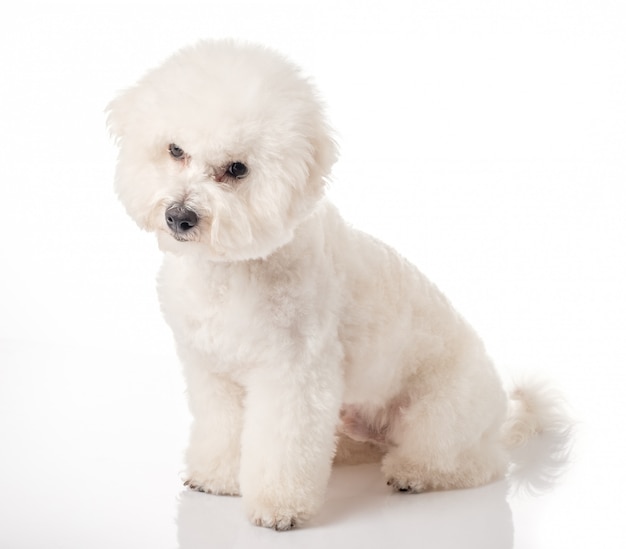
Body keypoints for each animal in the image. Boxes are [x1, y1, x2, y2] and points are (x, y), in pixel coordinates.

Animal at [107, 40, 564, 528]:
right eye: (175, 150)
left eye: (237, 169)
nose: (179, 216)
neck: (230, 267)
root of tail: (502, 418)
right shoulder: (213, 373)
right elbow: (222, 429)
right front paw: (217, 478)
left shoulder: (294, 375)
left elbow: (282, 446)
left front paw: (280, 507)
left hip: (441, 416)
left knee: (473, 463)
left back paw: (413, 472)